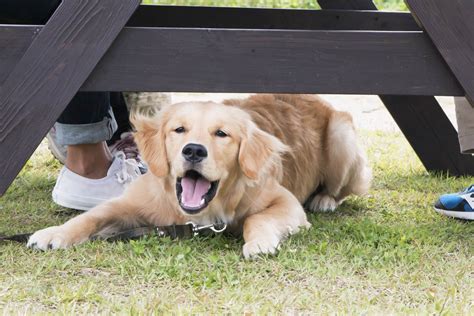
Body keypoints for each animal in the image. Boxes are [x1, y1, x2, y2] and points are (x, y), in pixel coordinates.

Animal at [27, 94, 372, 260]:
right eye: (179, 129)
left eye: (222, 134)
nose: (193, 150)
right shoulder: (129, 203)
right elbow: (91, 216)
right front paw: (53, 234)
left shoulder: (285, 203)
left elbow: (255, 218)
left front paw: (259, 242)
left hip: (341, 136)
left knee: (342, 188)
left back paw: (325, 198)